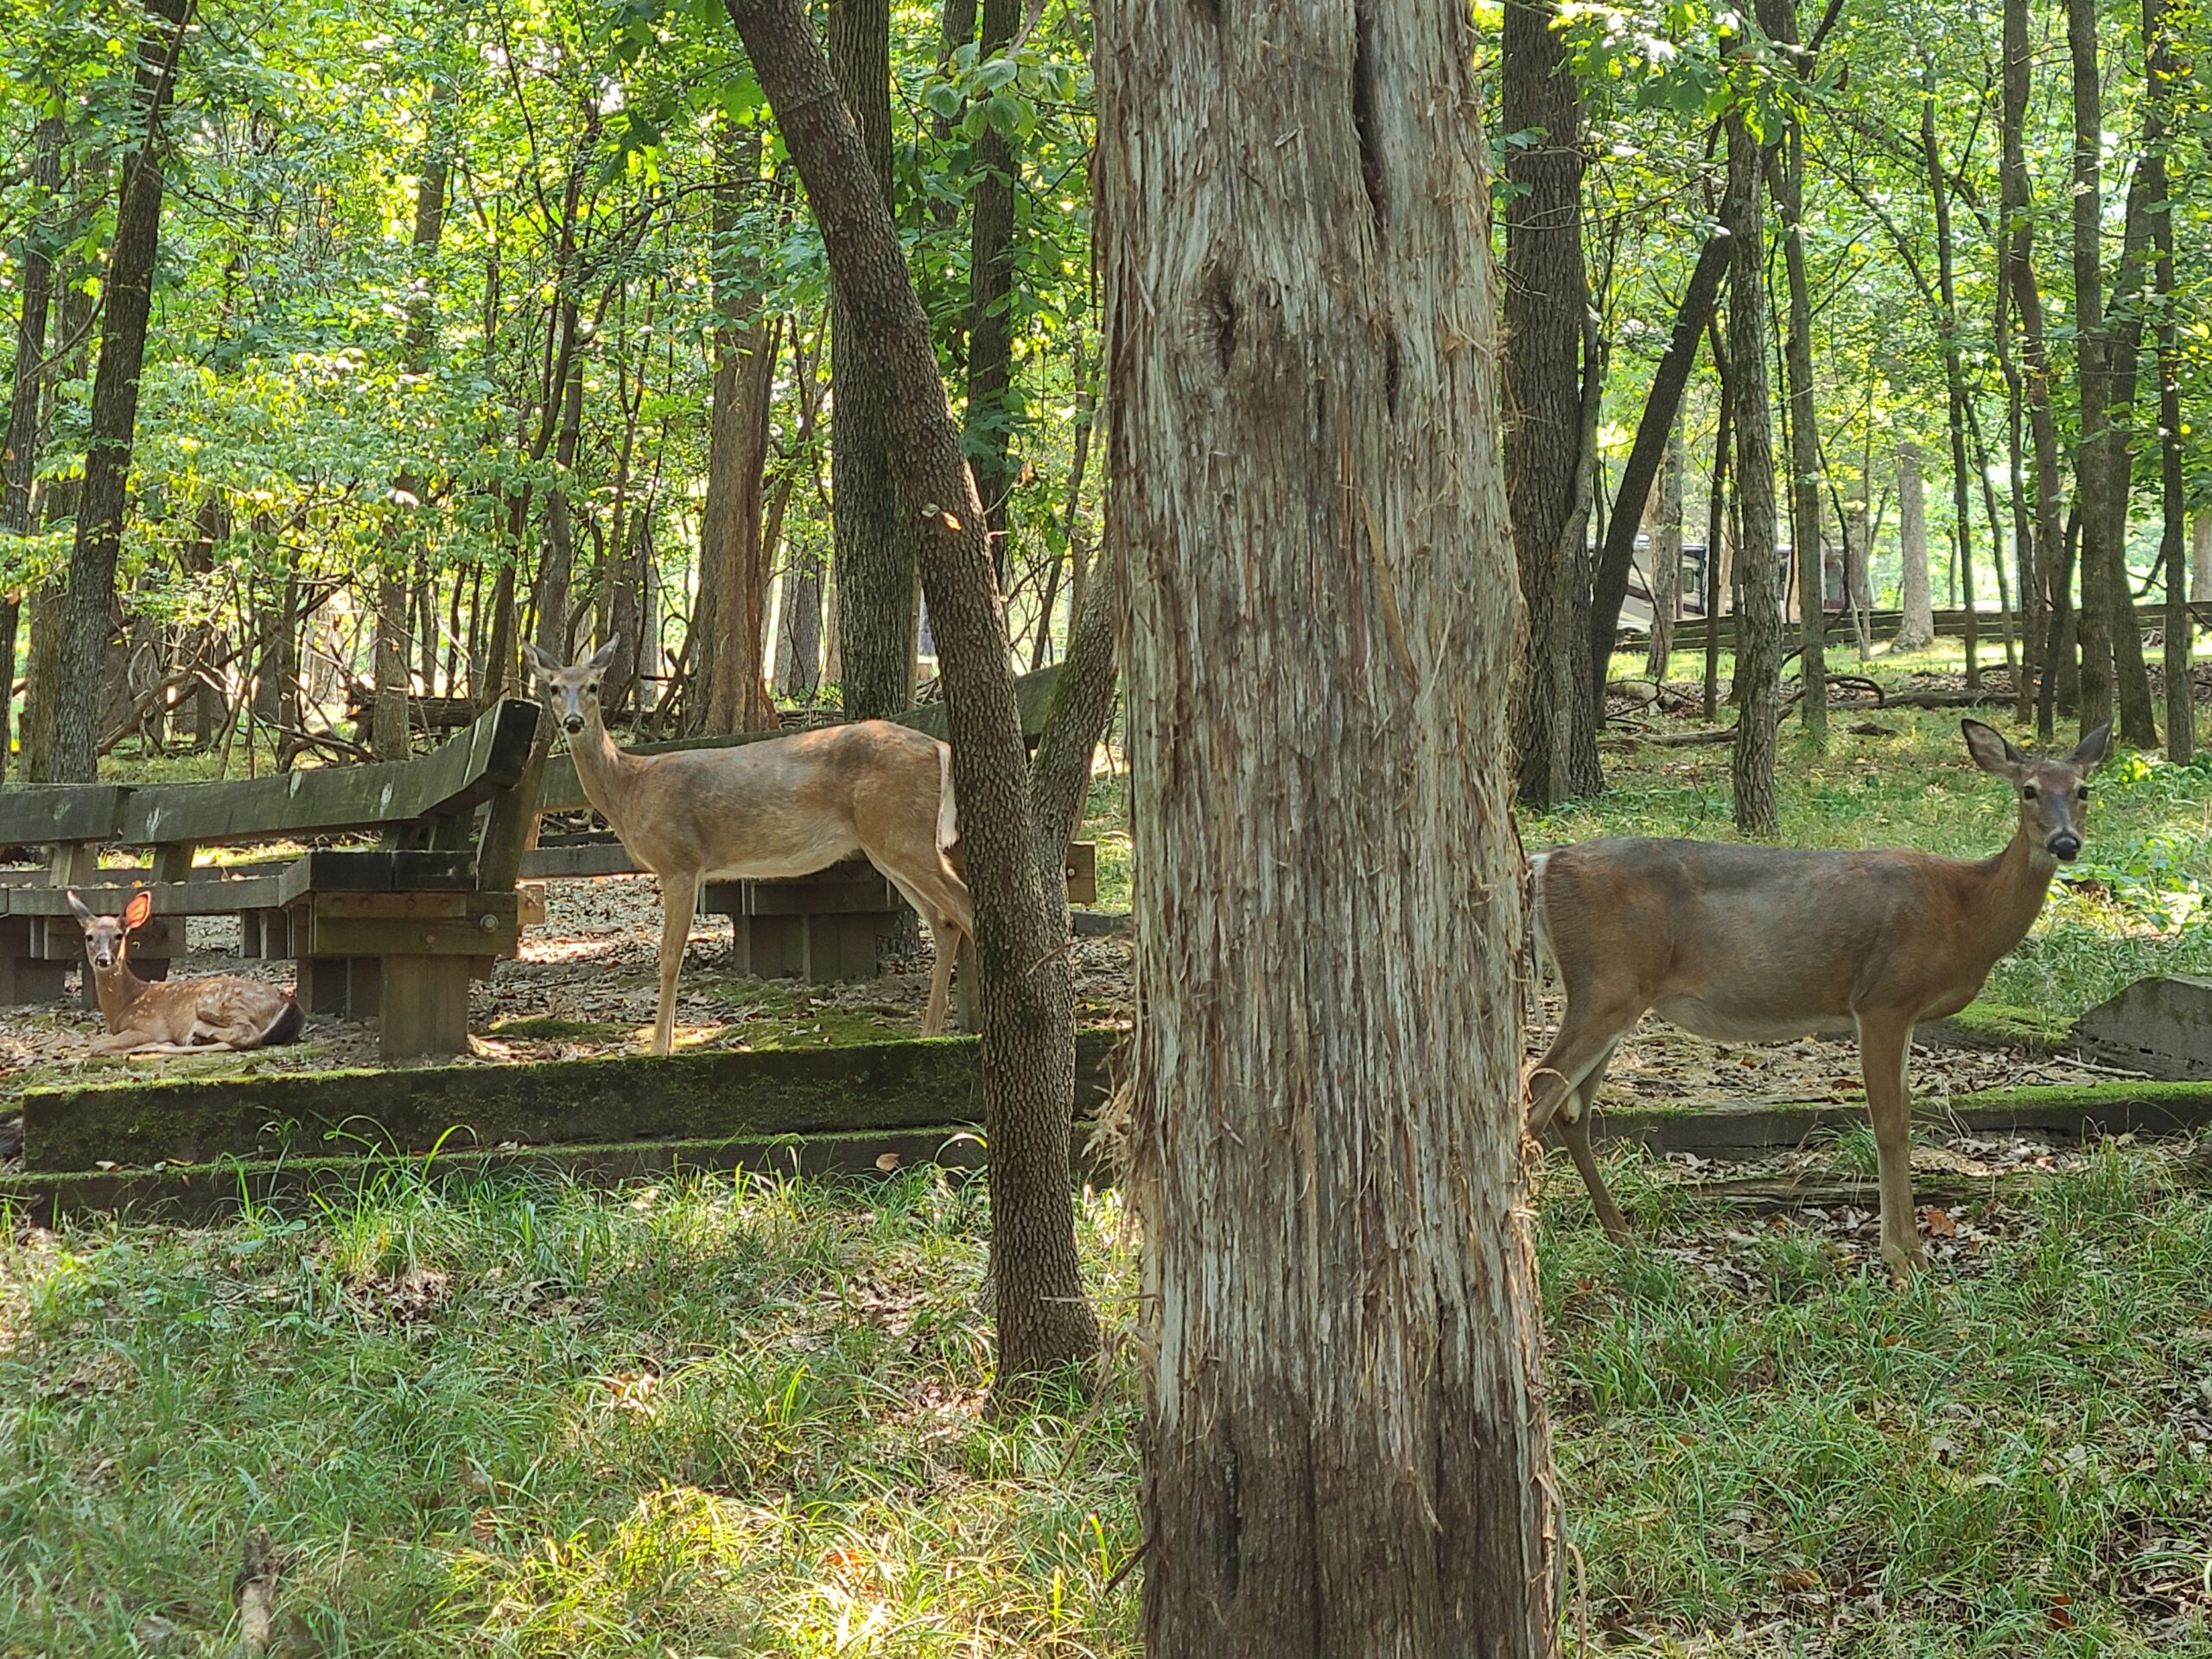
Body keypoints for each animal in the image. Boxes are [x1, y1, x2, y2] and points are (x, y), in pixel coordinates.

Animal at [69, 889, 307, 1057]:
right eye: (89, 936)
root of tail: (290, 1001)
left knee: (247, 1034)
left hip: (215, 999)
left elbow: (95, 1046)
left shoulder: (147, 1026)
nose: (103, 959)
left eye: (119, 935)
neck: (123, 1006)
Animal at [526, 637, 977, 1052]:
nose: (572, 722)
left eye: (593, 686)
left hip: (901, 830)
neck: (631, 789)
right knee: (944, 922)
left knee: (965, 906)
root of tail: (941, 747)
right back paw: (929, 1034)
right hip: (886, 844)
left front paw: (657, 1050)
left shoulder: (679, 861)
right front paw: (664, 1045)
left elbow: (670, 960)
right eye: (553, 687)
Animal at [1530, 721, 2114, 1282]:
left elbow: (1904, 1115)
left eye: (2083, 789)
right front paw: (1903, 1258)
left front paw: (1911, 1253)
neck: (1965, 910)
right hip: (1607, 983)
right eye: (2029, 790)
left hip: (1616, 993)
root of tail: (1545, 862)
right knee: (1538, 1089)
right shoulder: (1883, 998)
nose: (2065, 843)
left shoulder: (1903, 1012)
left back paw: (1623, 1240)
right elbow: (1890, 1124)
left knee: (1572, 1111)